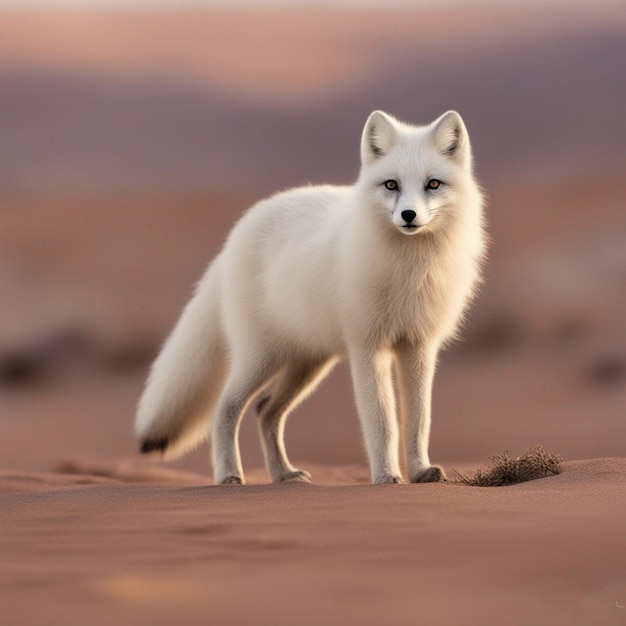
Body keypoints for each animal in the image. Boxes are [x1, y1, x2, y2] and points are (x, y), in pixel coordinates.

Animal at [136, 111, 486, 482]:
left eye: (432, 184)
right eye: (391, 185)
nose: (408, 215)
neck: (411, 269)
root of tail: (232, 239)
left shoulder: (419, 345)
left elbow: (419, 419)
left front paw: (420, 471)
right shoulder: (367, 346)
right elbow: (381, 420)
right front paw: (386, 476)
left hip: (308, 362)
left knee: (265, 410)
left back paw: (283, 474)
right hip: (261, 357)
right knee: (226, 408)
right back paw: (229, 475)